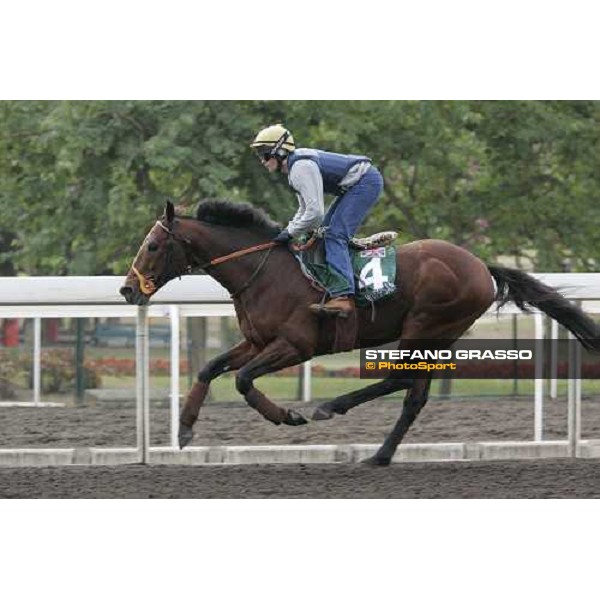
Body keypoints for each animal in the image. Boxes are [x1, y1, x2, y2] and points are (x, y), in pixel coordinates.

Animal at [119, 199, 600, 466]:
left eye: (153, 245)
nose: (126, 289)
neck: (264, 271)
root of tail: (482, 265)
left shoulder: (296, 344)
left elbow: (241, 379)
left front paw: (287, 415)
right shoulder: (257, 340)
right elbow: (210, 368)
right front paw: (183, 431)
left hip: (426, 325)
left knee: (399, 379)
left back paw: (332, 407)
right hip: (437, 335)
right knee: (413, 395)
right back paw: (380, 454)